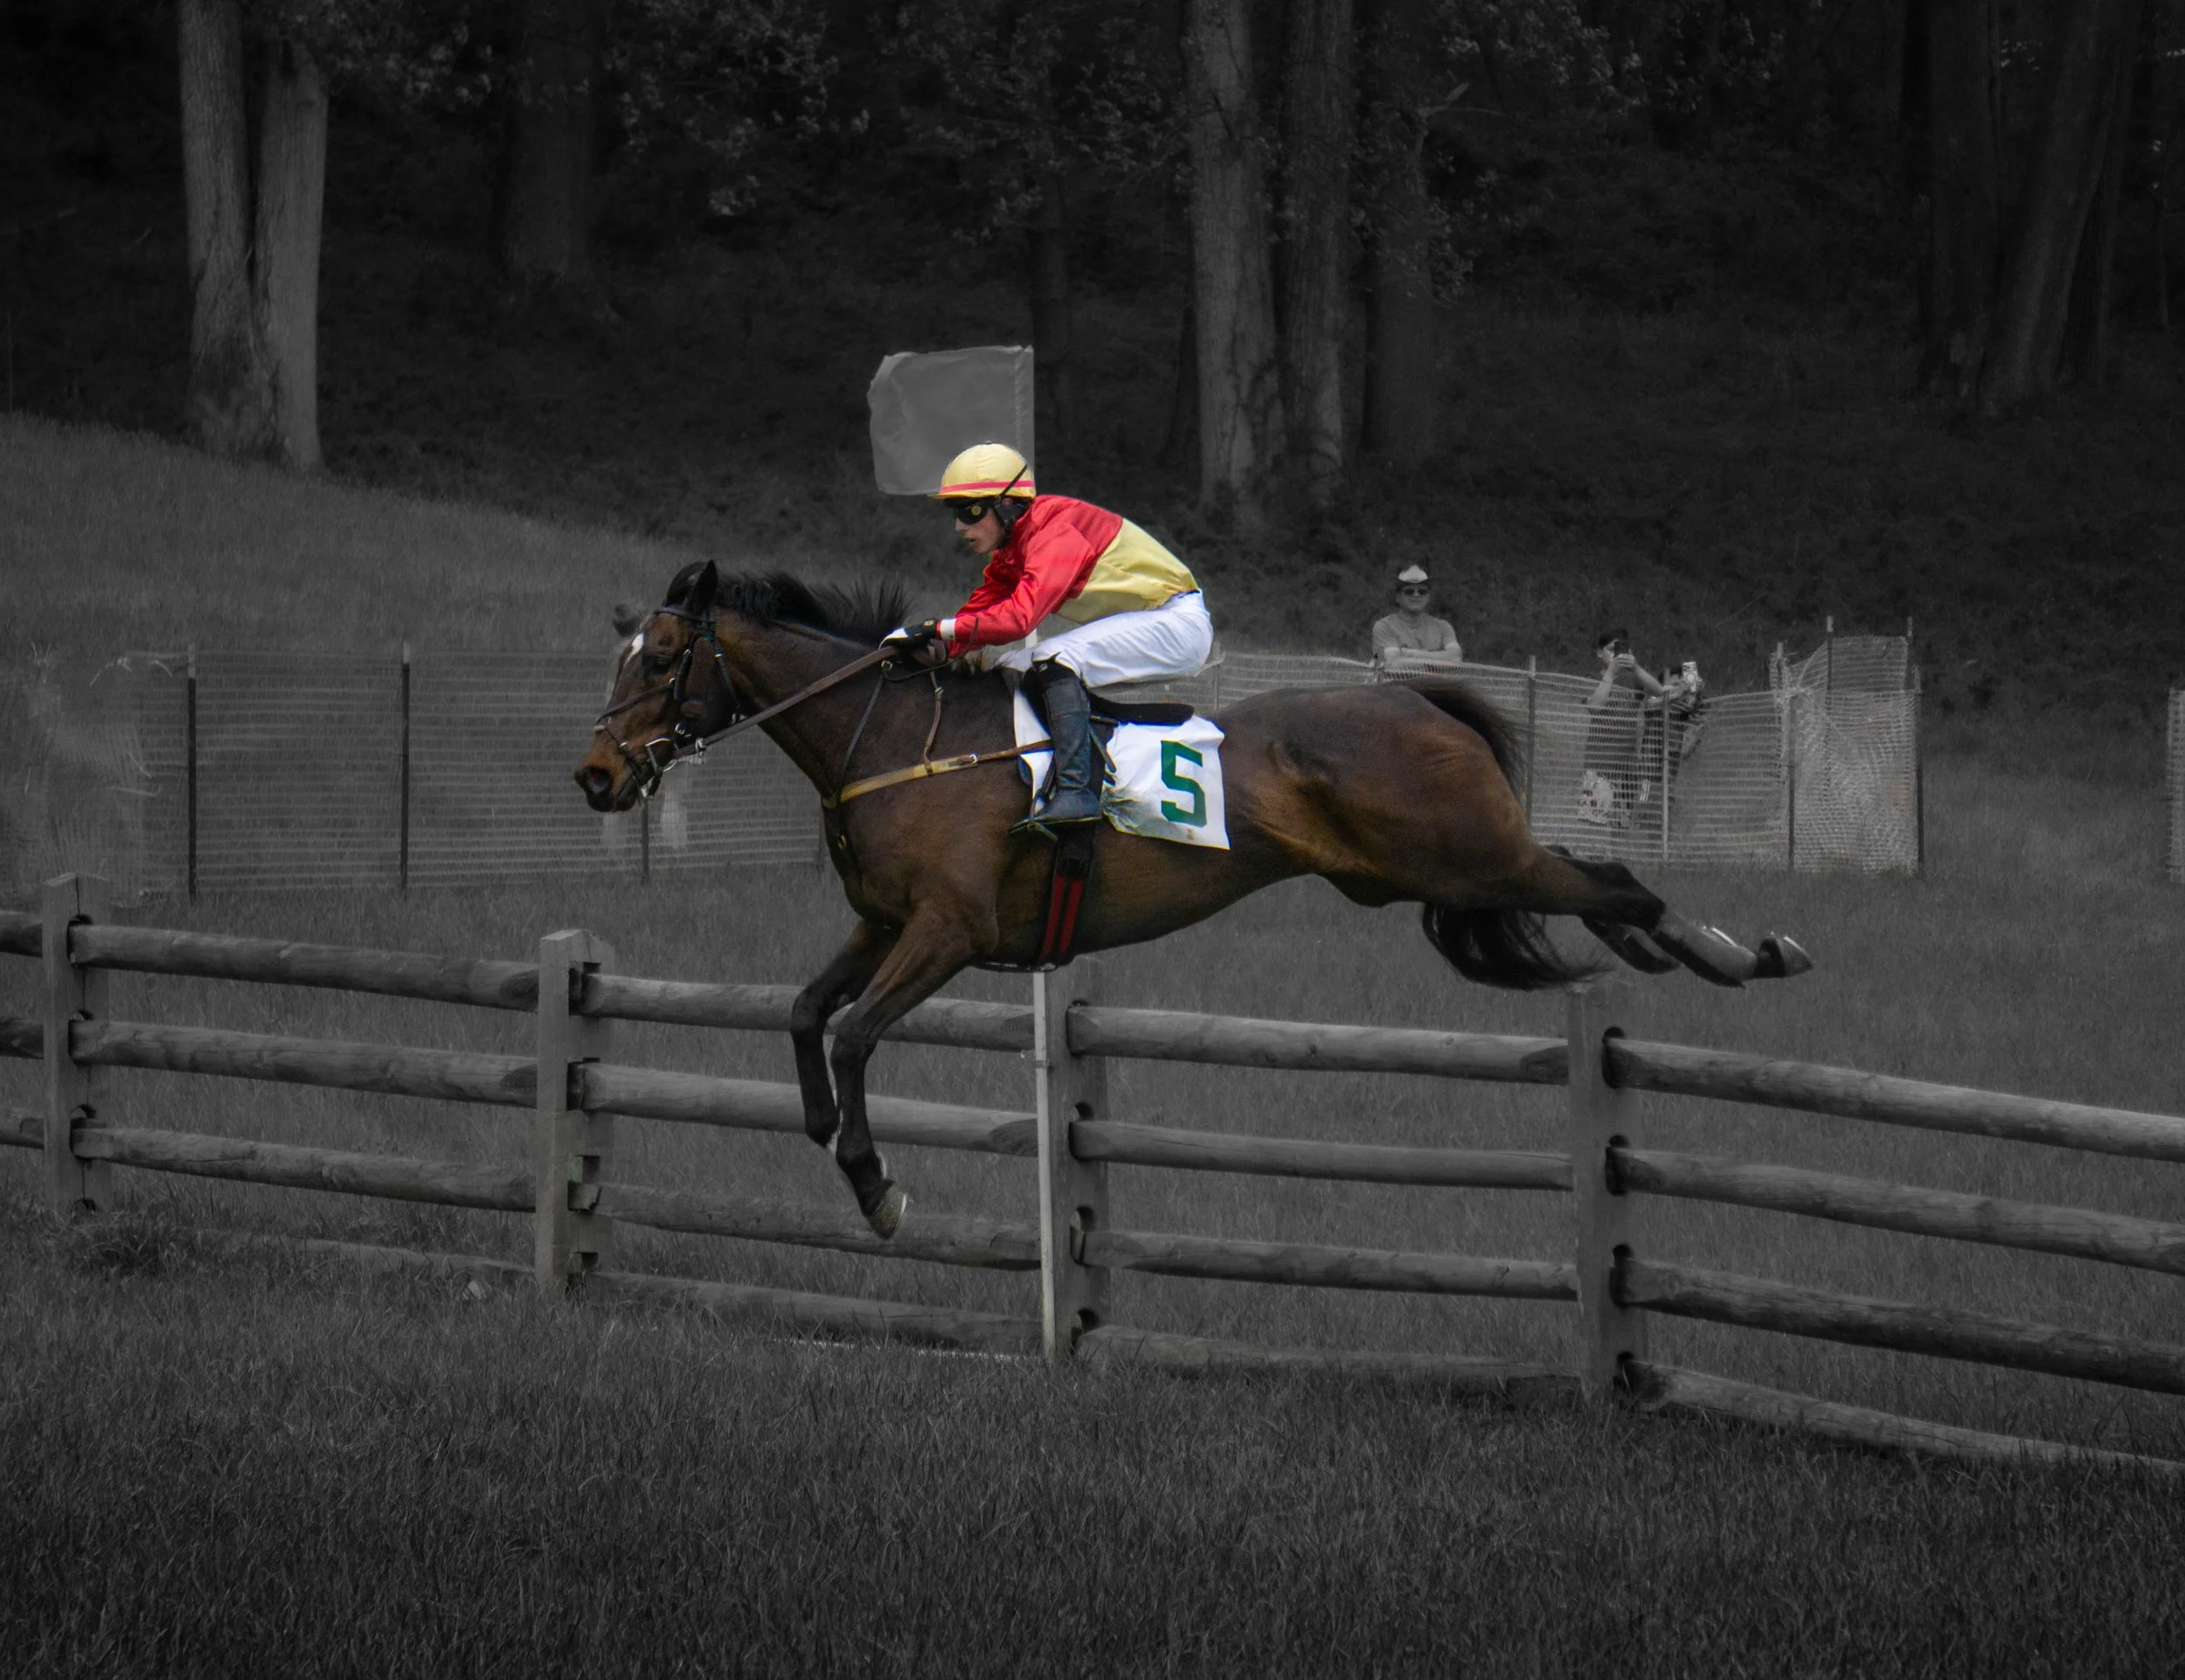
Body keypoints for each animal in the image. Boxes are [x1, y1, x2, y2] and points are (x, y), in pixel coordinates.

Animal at [575, 560, 1809, 1238]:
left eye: (664, 656)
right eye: (620, 653)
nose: (593, 775)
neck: (893, 739)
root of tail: (1416, 697)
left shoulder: (948, 931)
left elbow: (855, 1034)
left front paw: (876, 1183)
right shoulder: (883, 920)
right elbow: (803, 1013)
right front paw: (823, 1130)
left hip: (1466, 854)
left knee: (1616, 878)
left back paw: (1740, 952)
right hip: (1433, 866)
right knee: (1588, 878)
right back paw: (1686, 951)